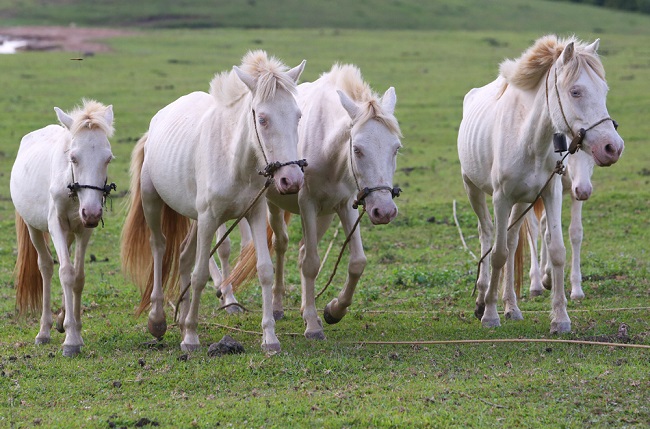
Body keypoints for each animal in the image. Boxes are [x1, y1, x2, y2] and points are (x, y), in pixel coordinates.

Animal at [10, 99, 115, 354]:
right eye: (74, 158)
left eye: (108, 159)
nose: (92, 212)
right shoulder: (56, 224)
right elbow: (66, 272)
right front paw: (71, 341)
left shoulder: (84, 230)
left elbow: (79, 277)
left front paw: (72, 326)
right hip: (33, 228)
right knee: (47, 266)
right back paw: (44, 331)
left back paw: (59, 320)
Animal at [123, 51, 306, 352]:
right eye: (262, 119)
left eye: (298, 116)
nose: (291, 180)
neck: (234, 158)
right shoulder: (210, 219)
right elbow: (199, 276)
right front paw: (191, 337)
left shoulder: (254, 213)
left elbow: (264, 270)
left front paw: (269, 337)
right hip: (153, 203)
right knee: (159, 247)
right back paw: (158, 319)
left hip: (195, 218)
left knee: (183, 256)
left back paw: (182, 317)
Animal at [220, 62, 400, 338]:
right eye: (357, 149)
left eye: (396, 148)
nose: (385, 210)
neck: (327, 147)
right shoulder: (307, 204)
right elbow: (311, 264)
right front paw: (314, 326)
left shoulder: (345, 205)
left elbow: (357, 262)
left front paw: (333, 310)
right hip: (275, 205)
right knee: (282, 245)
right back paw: (278, 306)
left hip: (325, 215)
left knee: (304, 249)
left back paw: (307, 307)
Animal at [456, 35, 624, 332]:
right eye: (575, 92)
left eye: (604, 90)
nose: (612, 147)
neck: (528, 137)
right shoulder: (500, 198)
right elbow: (498, 254)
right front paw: (490, 314)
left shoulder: (550, 192)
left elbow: (556, 249)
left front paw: (560, 318)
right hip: (473, 189)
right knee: (487, 234)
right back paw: (482, 298)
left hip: (520, 201)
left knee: (512, 242)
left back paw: (512, 306)